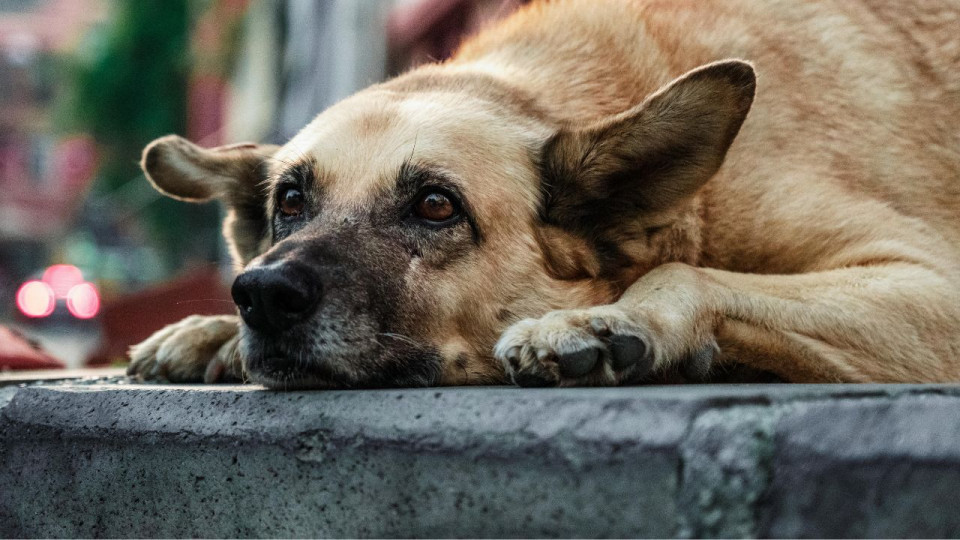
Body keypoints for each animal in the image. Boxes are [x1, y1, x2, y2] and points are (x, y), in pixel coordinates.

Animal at [127, 0, 960, 388]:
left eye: (436, 205)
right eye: (290, 203)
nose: (262, 295)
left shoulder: (933, 286)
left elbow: (688, 272)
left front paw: (606, 320)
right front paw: (210, 331)